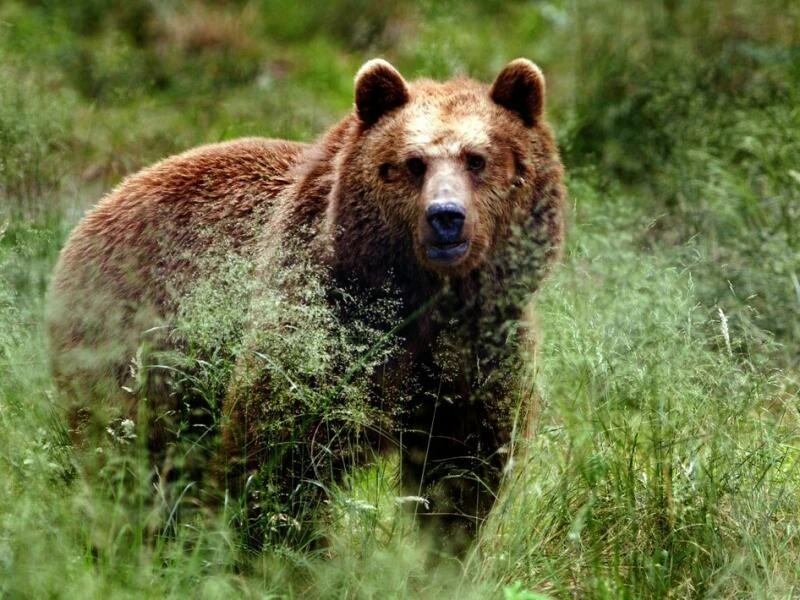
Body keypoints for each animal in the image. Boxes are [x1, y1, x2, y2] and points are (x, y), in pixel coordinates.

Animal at [47, 58, 564, 552]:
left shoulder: (478, 348)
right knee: (129, 451)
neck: (422, 299)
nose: (445, 218)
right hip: (136, 343)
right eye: (412, 162)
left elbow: (461, 471)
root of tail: (100, 206)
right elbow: (280, 453)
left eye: (477, 159)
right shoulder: (325, 325)